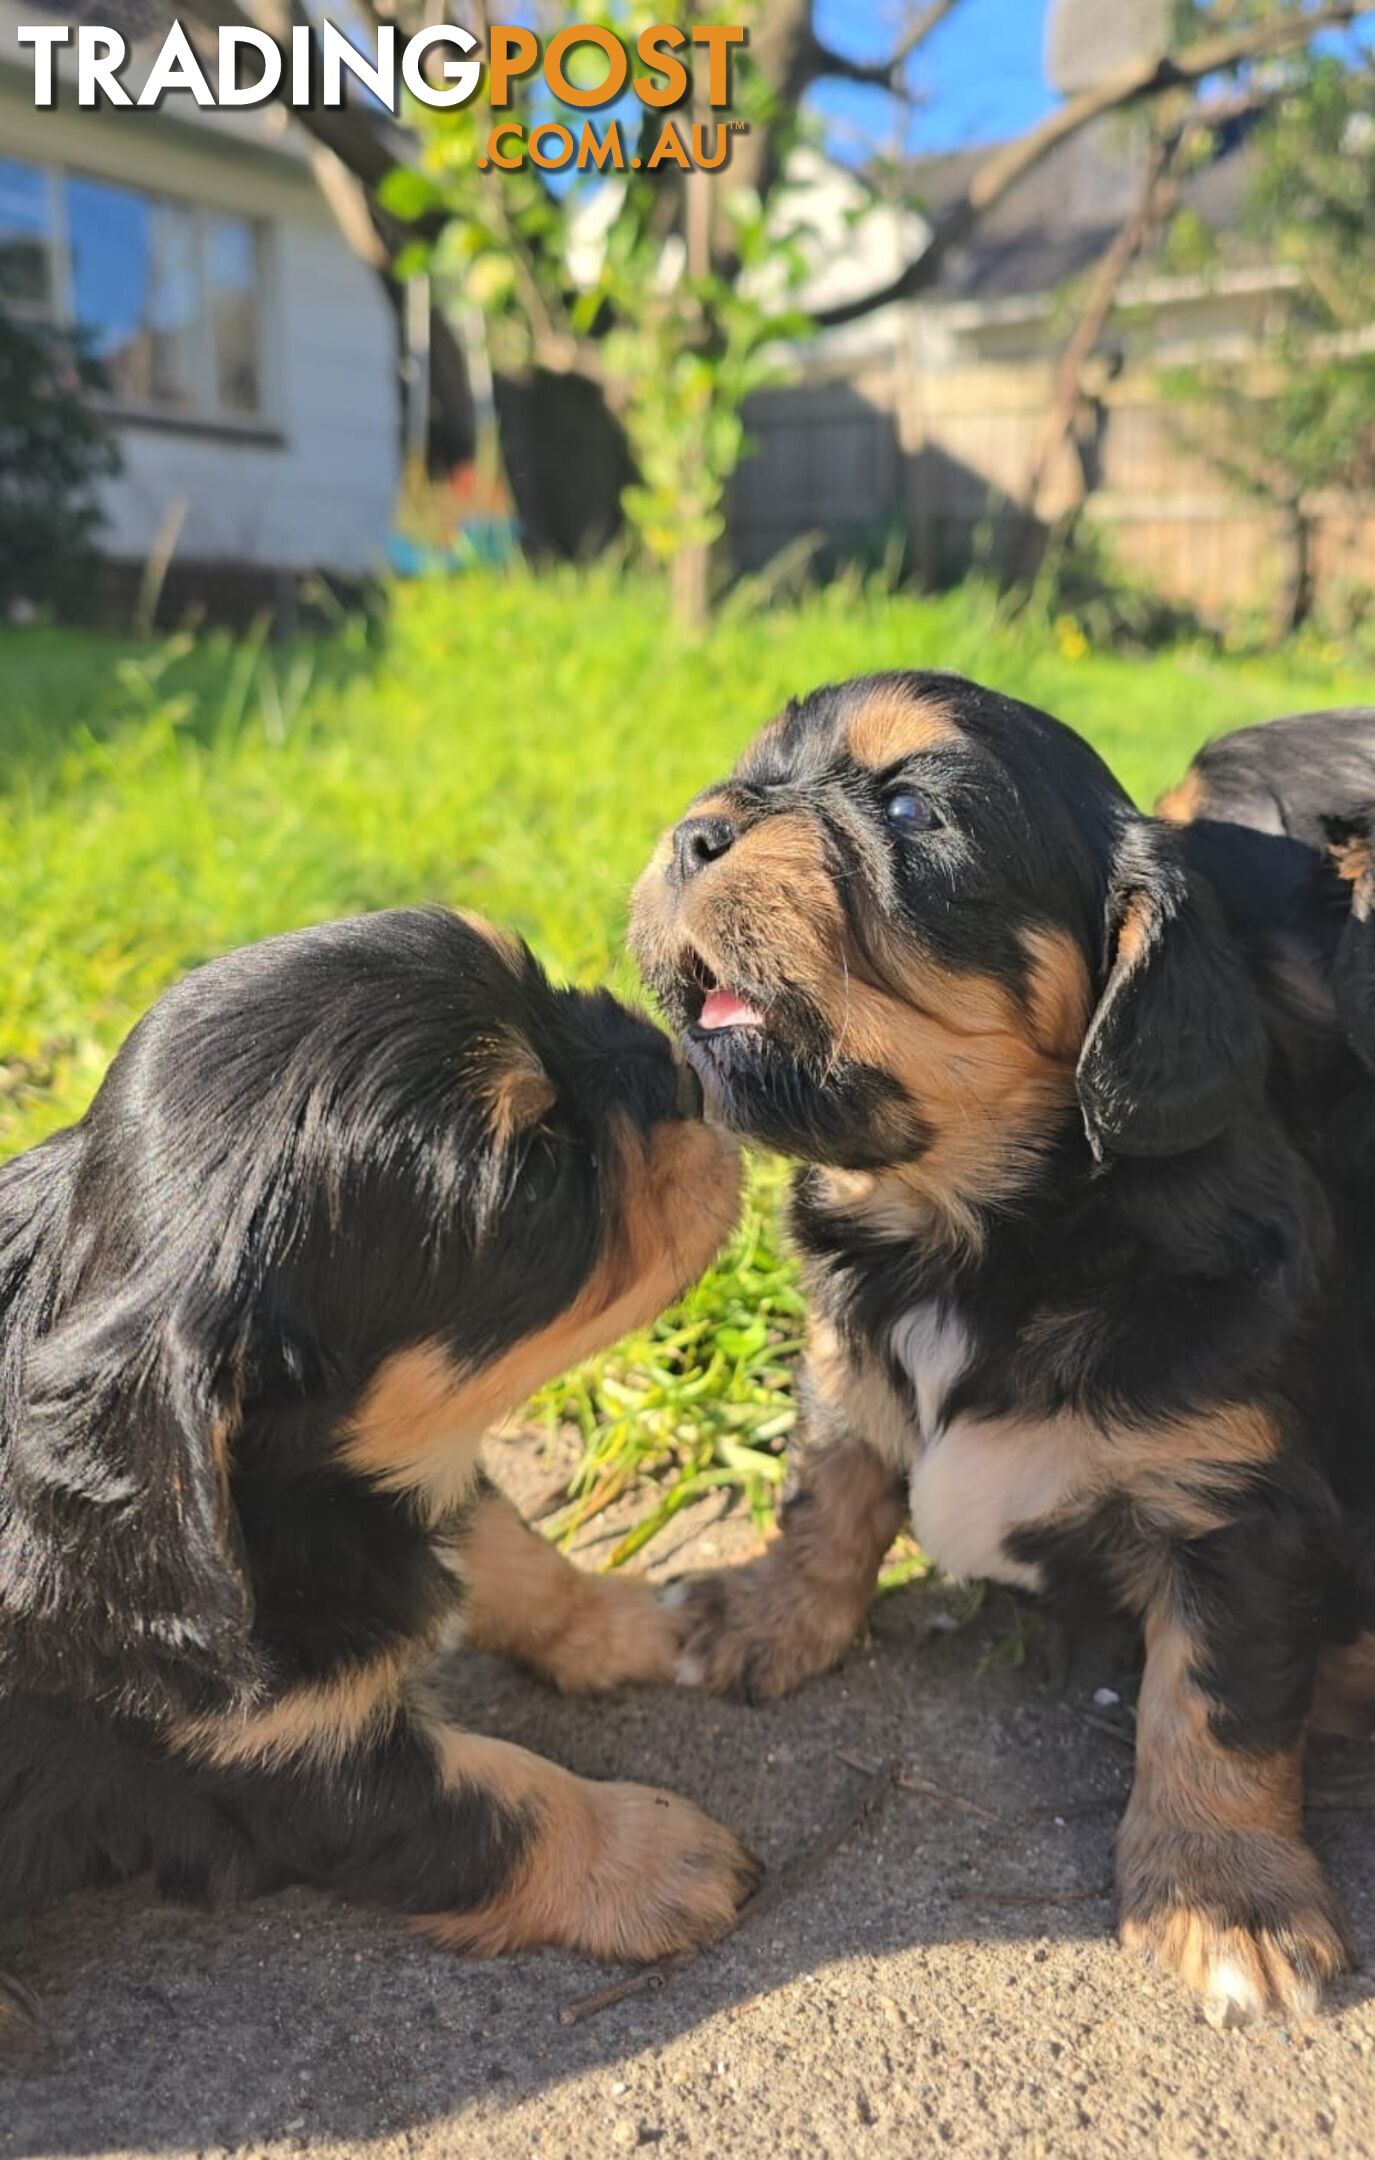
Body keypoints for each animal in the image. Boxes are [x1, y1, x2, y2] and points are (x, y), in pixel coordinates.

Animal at [0, 907, 751, 2021]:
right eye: (539, 1171)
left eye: (545, 983)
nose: (684, 1072)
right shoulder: (286, 1766)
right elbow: (504, 1799)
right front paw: (655, 1855)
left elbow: (514, 1556)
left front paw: (638, 1621)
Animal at [634, 669, 1372, 2021]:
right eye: (751, 775)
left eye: (910, 808)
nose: (694, 833)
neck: (957, 1233)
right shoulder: (842, 1360)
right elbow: (830, 1493)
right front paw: (761, 1617)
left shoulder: (1239, 1507)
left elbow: (1211, 1702)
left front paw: (1225, 1897)